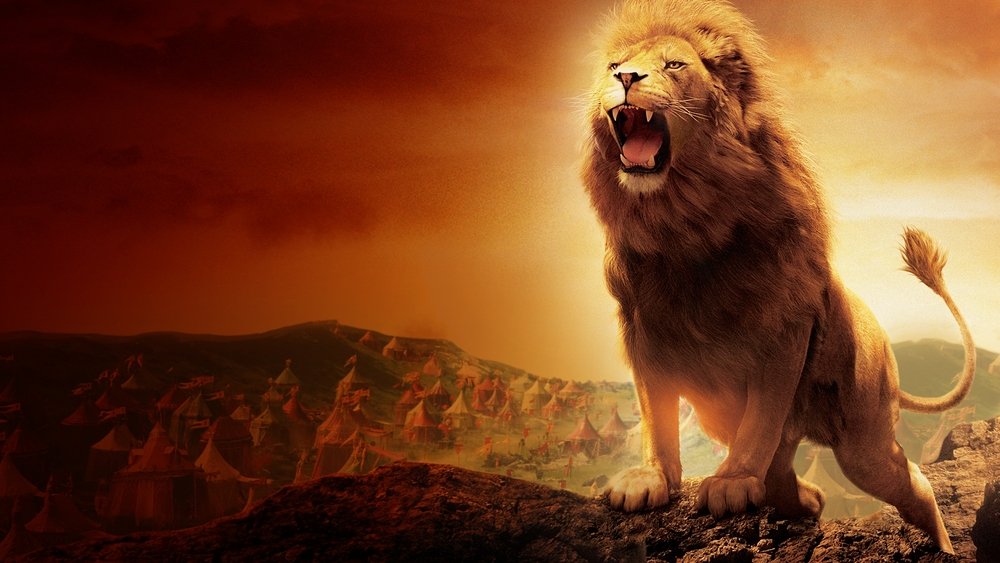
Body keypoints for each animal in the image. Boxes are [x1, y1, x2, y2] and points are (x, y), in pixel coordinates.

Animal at [580, 0, 975, 554]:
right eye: (615, 65)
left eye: (674, 65)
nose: (626, 78)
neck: (682, 221)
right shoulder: (642, 327)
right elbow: (656, 414)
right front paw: (650, 479)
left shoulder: (784, 325)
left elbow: (762, 415)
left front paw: (730, 483)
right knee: (789, 478)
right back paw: (805, 500)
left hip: (864, 442)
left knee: (912, 480)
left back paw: (943, 546)